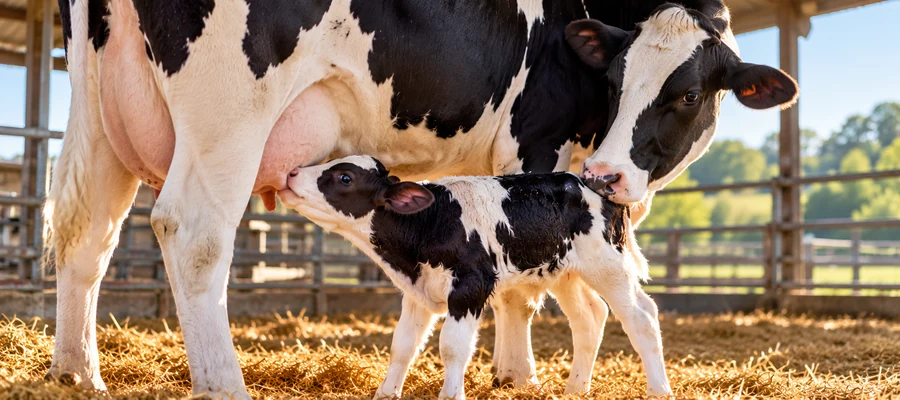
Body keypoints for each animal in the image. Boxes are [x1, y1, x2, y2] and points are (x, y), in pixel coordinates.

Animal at [278, 155, 664, 399]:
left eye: (345, 177)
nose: (292, 173)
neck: (432, 221)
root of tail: (593, 185)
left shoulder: (470, 287)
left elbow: (452, 346)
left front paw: (451, 394)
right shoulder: (418, 293)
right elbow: (402, 346)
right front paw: (385, 393)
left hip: (609, 267)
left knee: (642, 318)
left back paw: (659, 390)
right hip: (565, 273)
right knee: (590, 317)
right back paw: (575, 389)